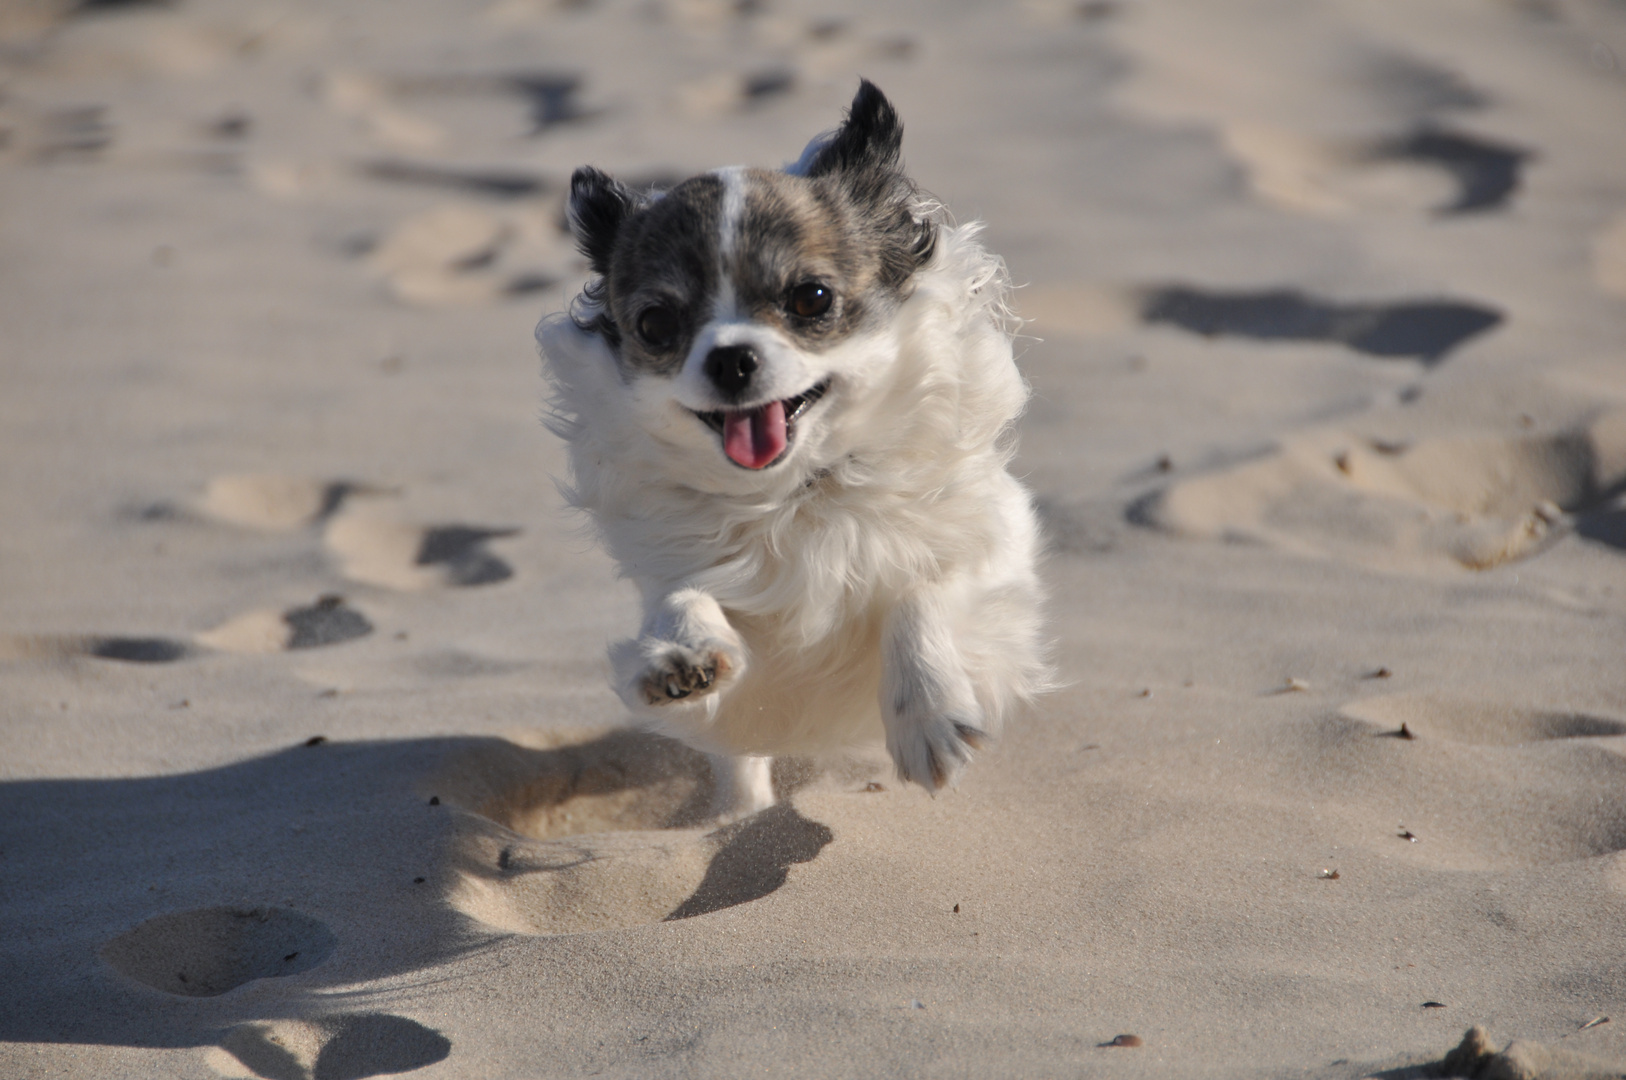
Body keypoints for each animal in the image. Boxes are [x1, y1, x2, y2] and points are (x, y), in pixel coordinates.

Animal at [539, 80, 1047, 813]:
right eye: (656, 324)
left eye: (812, 298)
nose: (730, 358)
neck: (797, 491)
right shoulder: (687, 585)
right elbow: (682, 598)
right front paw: (681, 655)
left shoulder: (993, 545)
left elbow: (923, 590)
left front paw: (925, 716)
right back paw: (739, 816)